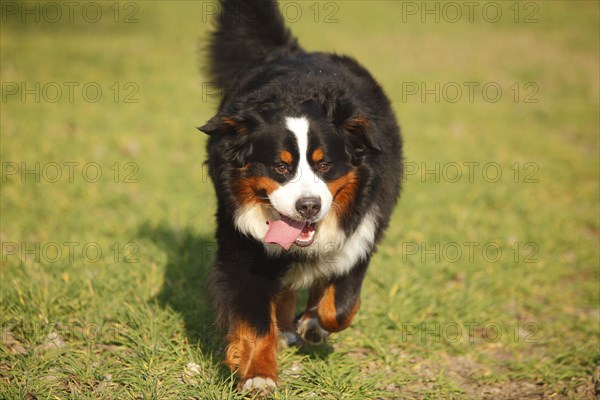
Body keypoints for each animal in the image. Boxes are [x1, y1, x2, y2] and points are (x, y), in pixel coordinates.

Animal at [198, 0, 404, 394]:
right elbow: (254, 319)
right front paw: (258, 373)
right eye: (281, 166)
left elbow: (340, 305)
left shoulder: (363, 231)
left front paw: (314, 323)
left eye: (324, 165)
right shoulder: (241, 244)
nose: (308, 206)